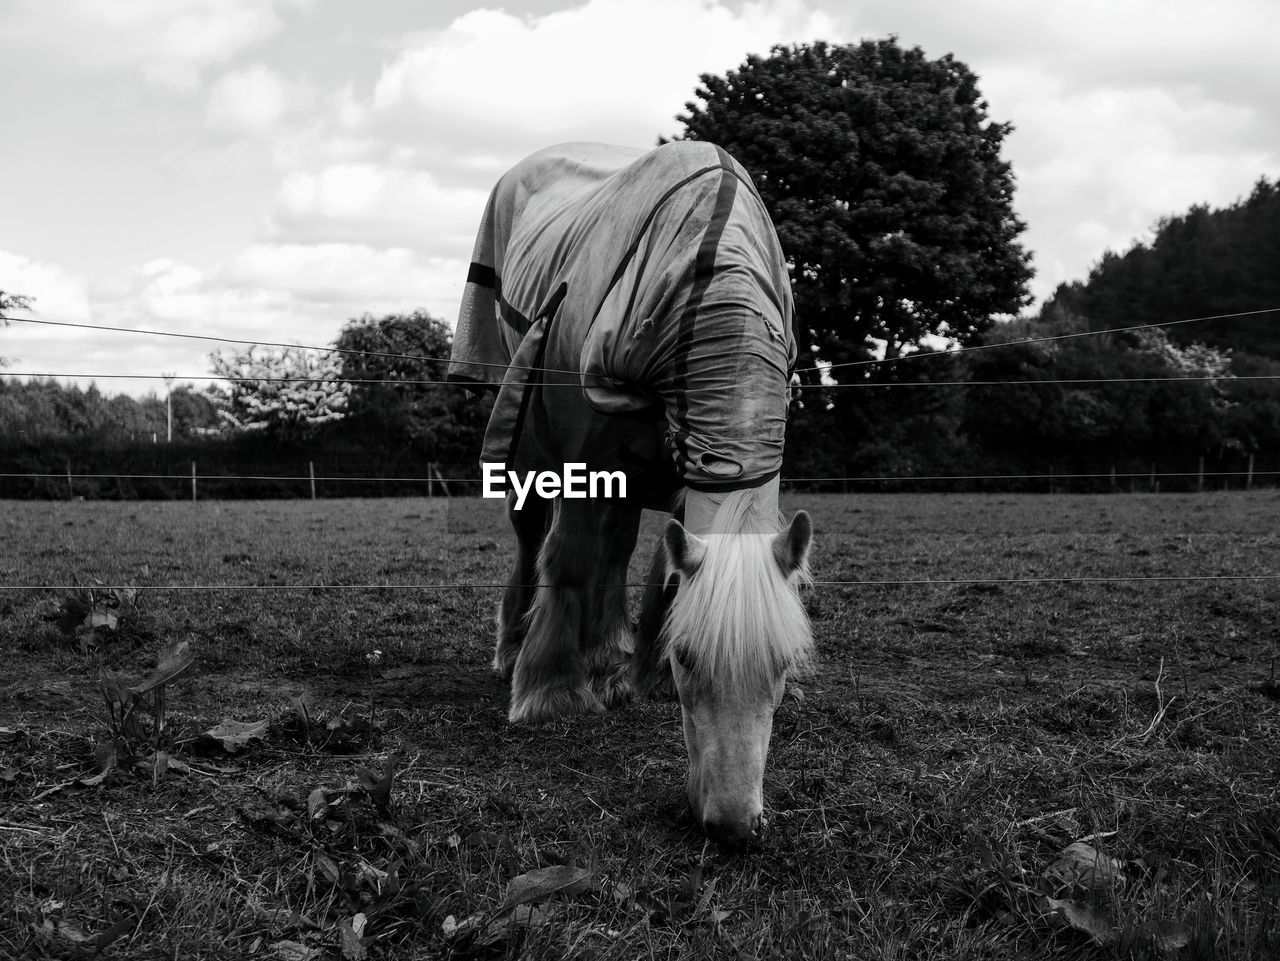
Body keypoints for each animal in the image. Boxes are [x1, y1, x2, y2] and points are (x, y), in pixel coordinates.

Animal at [448, 138, 808, 844]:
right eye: (690, 659)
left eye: (782, 665)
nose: (732, 825)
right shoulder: (585, 447)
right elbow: (569, 556)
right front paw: (552, 691)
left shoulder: (688, 458)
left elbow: (661, 571)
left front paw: (639, 675)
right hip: (522, 419)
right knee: (536, 537)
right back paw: (513, 651)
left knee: (615, 544)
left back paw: (606, 654)